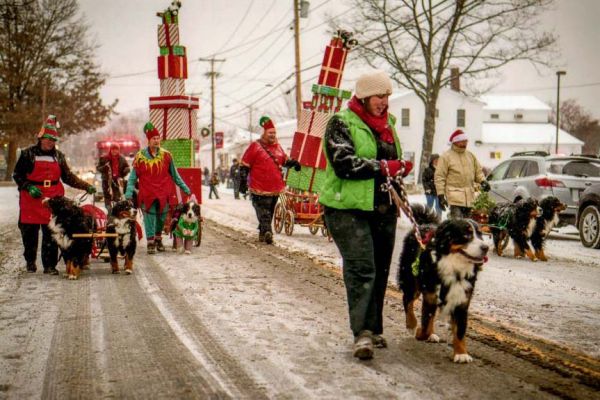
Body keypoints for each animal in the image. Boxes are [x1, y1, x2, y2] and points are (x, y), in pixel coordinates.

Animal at [398, 205, 488, 364]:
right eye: (466, 235)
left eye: (480, 234)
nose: (486, 247)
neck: (455, 268)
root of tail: (423, 225)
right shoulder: (430, 295)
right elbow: (425, 324)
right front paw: (420, 332)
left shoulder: (462, 301)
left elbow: (460, 330)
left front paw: (461, 353)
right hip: (412, 280)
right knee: (407, 300)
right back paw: (411, 324)